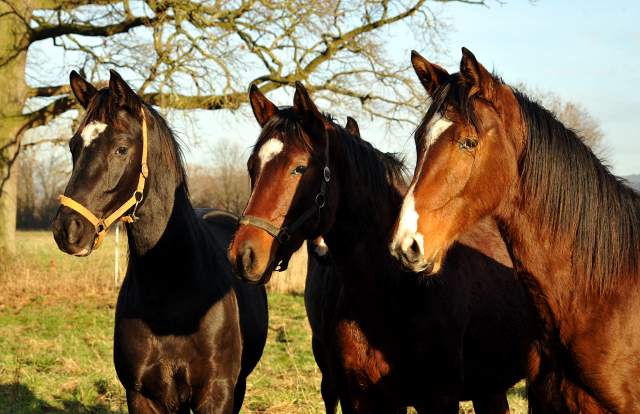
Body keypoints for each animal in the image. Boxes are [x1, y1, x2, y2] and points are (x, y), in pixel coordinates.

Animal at [228, 82, 528, 412]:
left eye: (299, 168)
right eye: (252, 166)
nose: (243, 255)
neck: (396, 292)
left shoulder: (439, 399)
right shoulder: (364, 395)